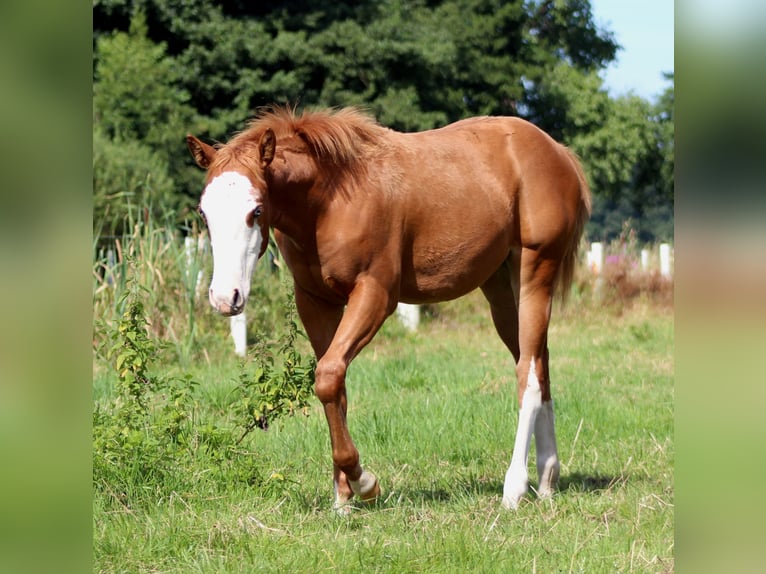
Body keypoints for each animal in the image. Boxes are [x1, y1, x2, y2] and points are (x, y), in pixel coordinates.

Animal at [187, 106, 591, 512]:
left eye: (256, 211)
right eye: (204, 214)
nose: (225, 297)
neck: (330, 199)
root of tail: (559, 153)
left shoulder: (375, 294)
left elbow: (328, 376)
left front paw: (364, 482)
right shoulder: (315, 302)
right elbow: (333, 384)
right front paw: (343, 498)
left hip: (535, 272)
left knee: (528, 375)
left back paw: (515, 487)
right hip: (501, 289)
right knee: (539, 361)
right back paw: (548, 478)